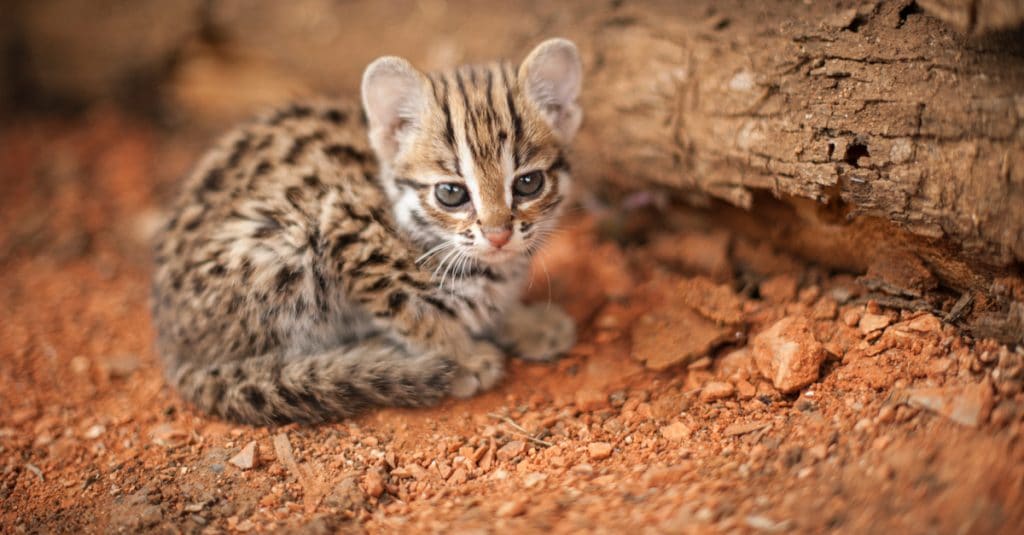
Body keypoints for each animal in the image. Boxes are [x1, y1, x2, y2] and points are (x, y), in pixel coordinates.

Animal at [151, 37, 585, 422]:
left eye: (528, 184)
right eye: (451, 193)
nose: (498, 235)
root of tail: (173, 345)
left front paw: (523, 322)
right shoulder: (347, 229)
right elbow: (417, 318)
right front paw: (463, 357)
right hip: (287, 243)